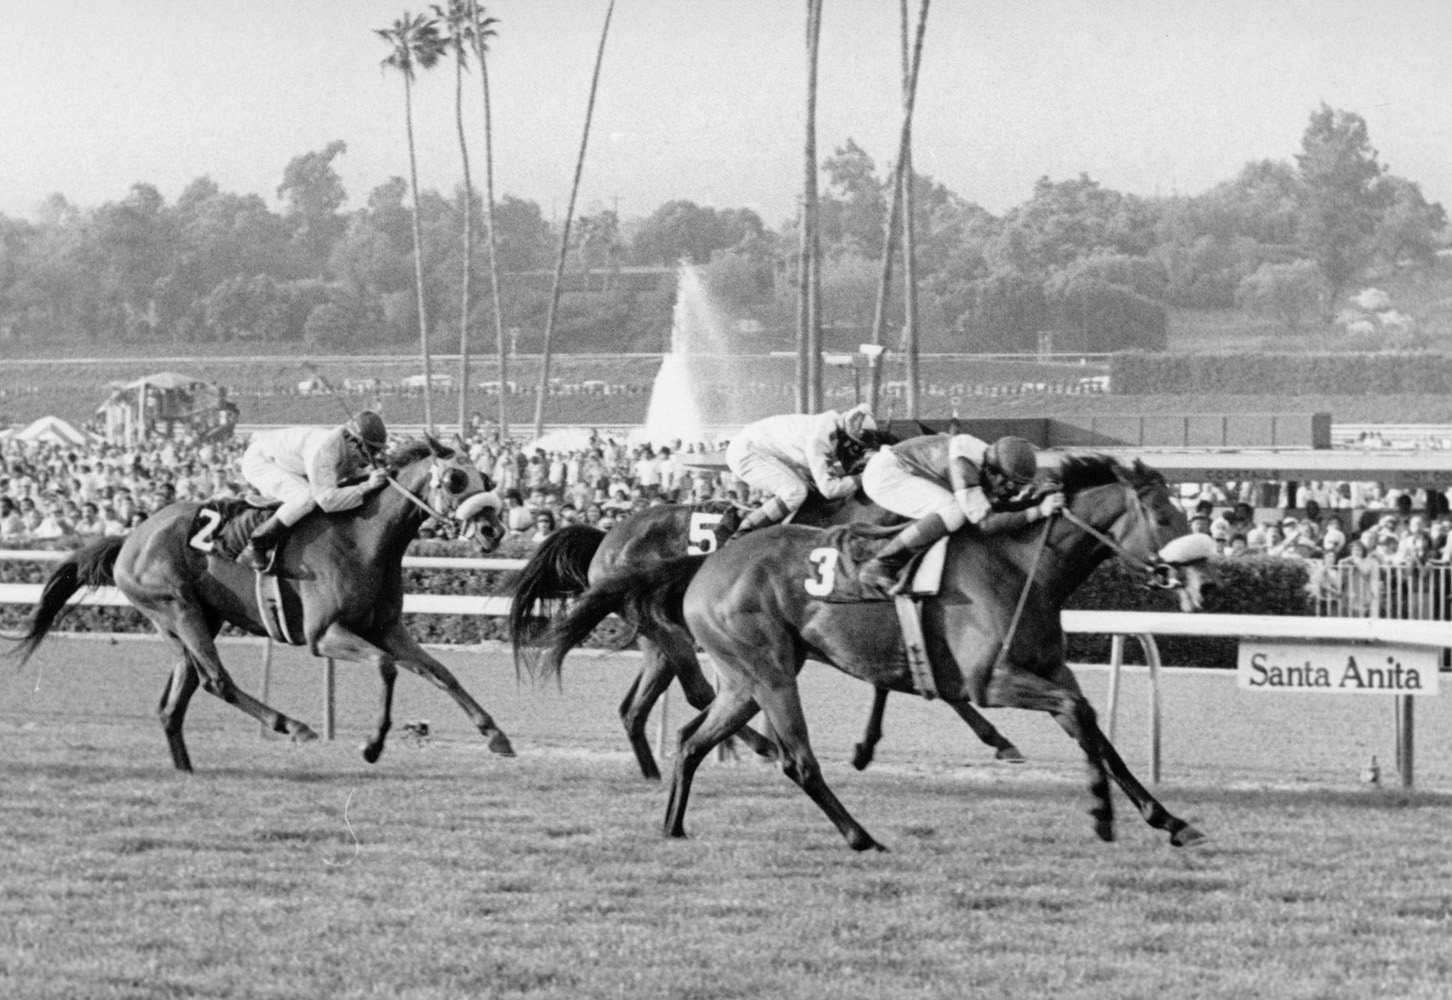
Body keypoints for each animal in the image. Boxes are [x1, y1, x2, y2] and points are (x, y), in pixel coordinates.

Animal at [540, 455, 1219, 847]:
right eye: (1164, 515)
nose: (1206, 583)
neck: (1023, 561)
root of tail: (706, 561)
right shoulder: (990, 680)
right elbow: (1073, 716)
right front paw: (1101, 813)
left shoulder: (1049, 669)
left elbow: (1096, 730)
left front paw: (1169, 819)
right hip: (766, 669)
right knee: (794, 758)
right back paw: (860, 835)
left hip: (740, 676)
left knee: (686, 734)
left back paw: (673, 822)